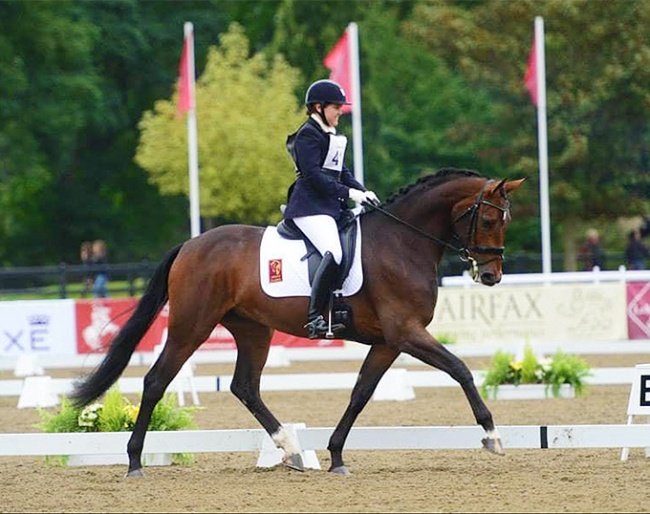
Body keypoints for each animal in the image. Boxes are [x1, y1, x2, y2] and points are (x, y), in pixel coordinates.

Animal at [71, 169, 524, 476]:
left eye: (505, 221)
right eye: (487, 220)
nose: (491, 276)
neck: (403, 243)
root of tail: (190, 244)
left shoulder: (388, 342)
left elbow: (361, 393)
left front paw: (336, 455)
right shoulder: (407, 332)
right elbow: (460, 369)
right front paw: (492, 435)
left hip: (254, 330)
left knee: (244, 387)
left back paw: (289, 448)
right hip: (191, 326)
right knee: (156, 381)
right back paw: (134, 461)